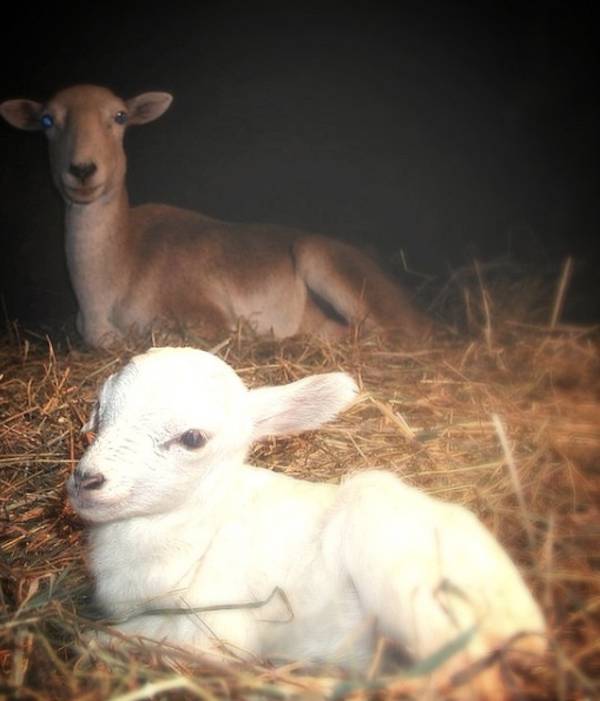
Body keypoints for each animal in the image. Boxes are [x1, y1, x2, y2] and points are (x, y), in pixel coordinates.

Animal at [68, 346, 546, 697]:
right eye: (98, 408)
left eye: (192, 438)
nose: (85, 480)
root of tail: (529, 618)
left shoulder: (217, 626)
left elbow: (102, 635)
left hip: (400, 567)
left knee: (466, 679)